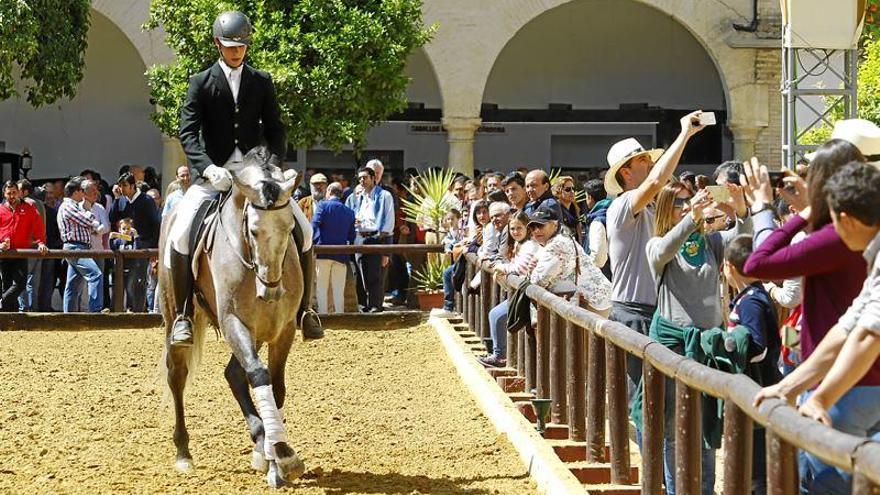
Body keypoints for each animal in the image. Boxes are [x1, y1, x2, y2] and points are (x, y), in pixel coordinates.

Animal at [158, 147, 306, 488]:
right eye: (253, 231)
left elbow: (275, 385)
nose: (272, 292)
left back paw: (259, 444)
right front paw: (282, 454)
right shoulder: (233, 322)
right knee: (177, 375)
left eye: (289, 229)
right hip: (176, 315)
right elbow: (261, 376)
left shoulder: (283, 328)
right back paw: (183, 453)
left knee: (235, 374)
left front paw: (272, 455)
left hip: (258, 331)